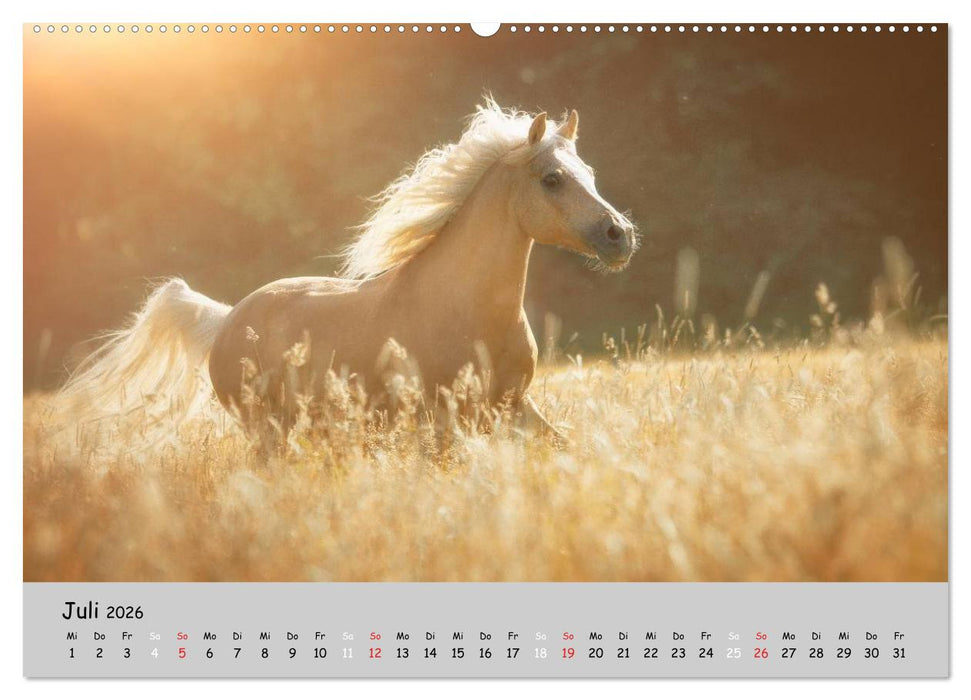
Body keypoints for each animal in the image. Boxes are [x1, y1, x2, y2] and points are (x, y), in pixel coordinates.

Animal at [59, 101, 637, 448]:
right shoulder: (441, 422)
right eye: (552, 178)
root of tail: (226, 319)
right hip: (267, 432)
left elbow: (562, 447)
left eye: (588, 173)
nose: (620, 235)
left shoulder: (513, 408)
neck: (467, 310)